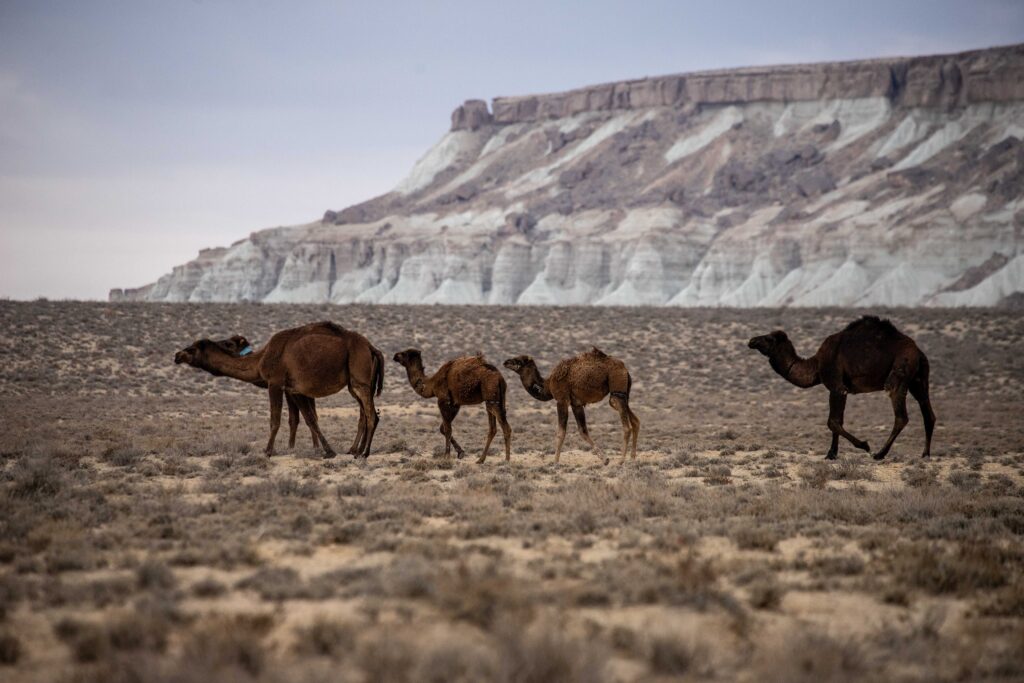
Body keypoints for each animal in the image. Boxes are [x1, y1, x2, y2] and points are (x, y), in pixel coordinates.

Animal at [174, 321, 385, 458]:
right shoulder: (294, 389)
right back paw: (355, 450)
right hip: (354, 384)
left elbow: (276, 420)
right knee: (364, 414)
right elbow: (308, 420)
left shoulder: (275, 383)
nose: (177, 355)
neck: (261, 359)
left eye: (192, 349)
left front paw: (268, 451)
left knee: (371, 415)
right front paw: (324, 451)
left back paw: (364, 453)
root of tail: (371, 347)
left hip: (359, 377)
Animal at [499, 348, 634, 464]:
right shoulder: (576, 404)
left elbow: (561, 432)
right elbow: (583, 431)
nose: (505, 362)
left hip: (617, 387)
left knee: (626, 425)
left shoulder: (561, 400)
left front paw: (555, 461)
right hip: (623, 392)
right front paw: (605, 459)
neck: (547, 385)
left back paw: (621, 460)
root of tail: (625, 369)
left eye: (518, 361)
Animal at [745, 317, 937, 462]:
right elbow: (838, 422)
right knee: (928, 413)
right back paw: (925, 454)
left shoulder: (836, 386)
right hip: (919, 379)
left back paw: (879, 454)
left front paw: (864, 445)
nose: (751, 340)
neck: (816, 364)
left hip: (899, 371)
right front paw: (831, 454)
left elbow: (832, 422)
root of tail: (918, 352)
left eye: (769, 339)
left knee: (901, 416)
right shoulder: (841, 389)